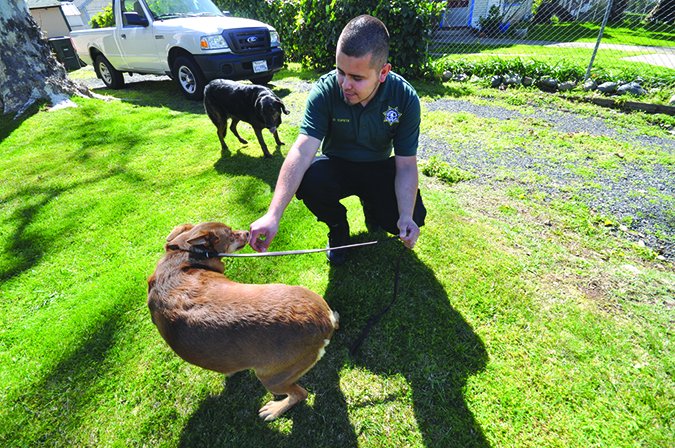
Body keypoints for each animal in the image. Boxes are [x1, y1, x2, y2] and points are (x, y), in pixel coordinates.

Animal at [147, 222, 338, 422]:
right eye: (231, 234)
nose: (247, 232)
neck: (181, 257)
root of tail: (325, 320)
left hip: (271, 377)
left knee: (300, 394)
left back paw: (275, 409)